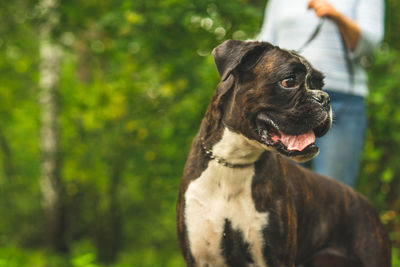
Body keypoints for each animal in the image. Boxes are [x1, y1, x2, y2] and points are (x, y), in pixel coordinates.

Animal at [176, 40, 390, 267]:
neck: (233, 161)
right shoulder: (200, 256)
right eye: (289, 81)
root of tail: (369, 206)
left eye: (320, 84)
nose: (325, 97)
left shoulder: (276, 257)